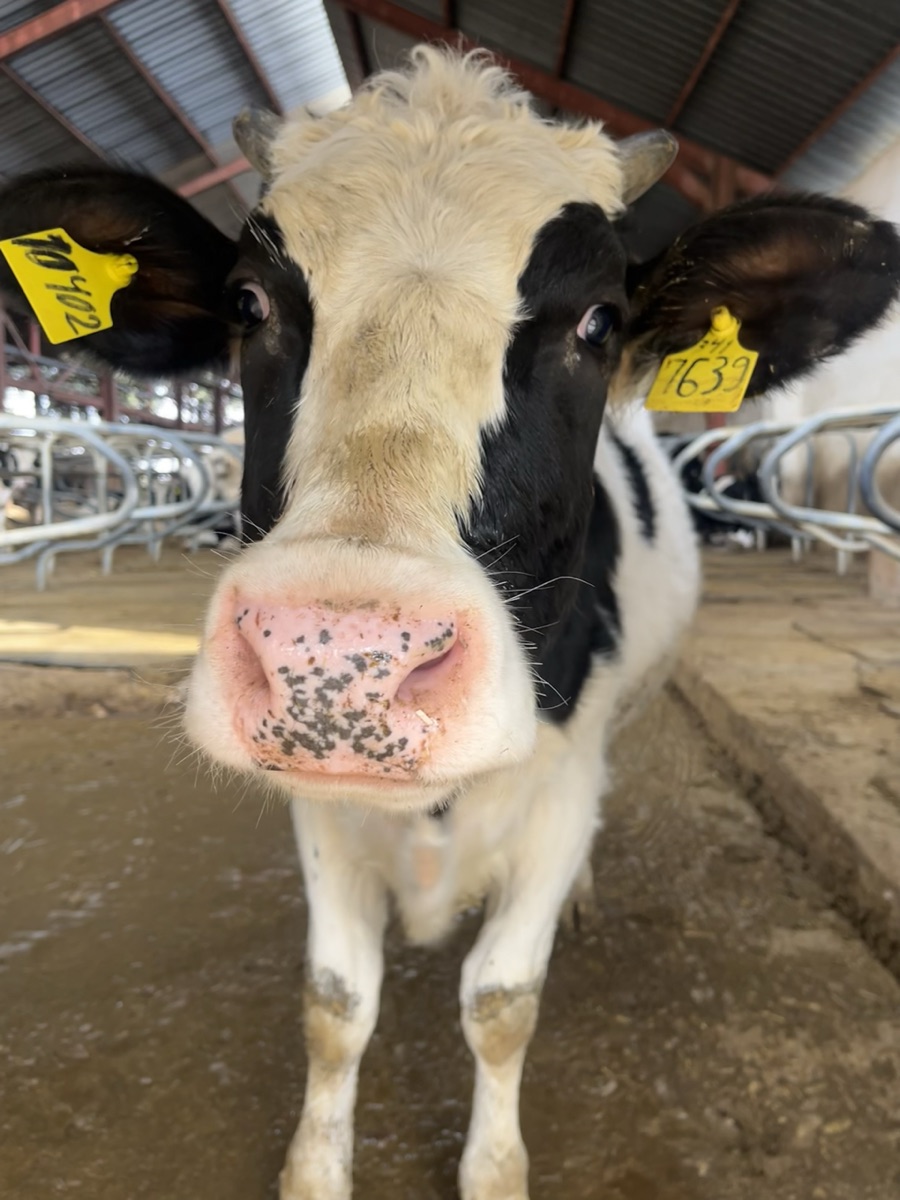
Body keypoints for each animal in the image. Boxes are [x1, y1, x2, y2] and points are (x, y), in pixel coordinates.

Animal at [1, 47, 898, 1200]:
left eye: (599, 321)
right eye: (248, 302)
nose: (338, 656)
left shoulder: (559, 789)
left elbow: (501, 1001)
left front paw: (494, 1168)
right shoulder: (323, 808)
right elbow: (336, 1001)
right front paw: (315, 1169)